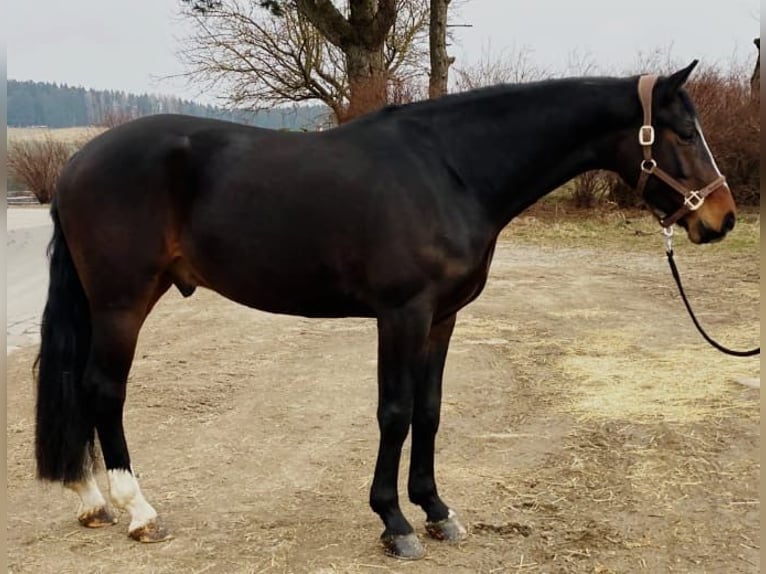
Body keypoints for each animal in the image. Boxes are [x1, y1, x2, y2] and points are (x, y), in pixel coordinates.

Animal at [34, 60, 736, 560]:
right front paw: (394, 522)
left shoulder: (443, 317)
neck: (450, 169)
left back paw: (92, 501)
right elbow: (394, 412)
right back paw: (138, 511)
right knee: (103, 391)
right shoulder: (403, 314)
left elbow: (429, 410)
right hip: (123, 302)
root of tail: (73, 163)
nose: (721, 219)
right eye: (682, 131)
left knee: (81, 389)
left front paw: (437, 511)